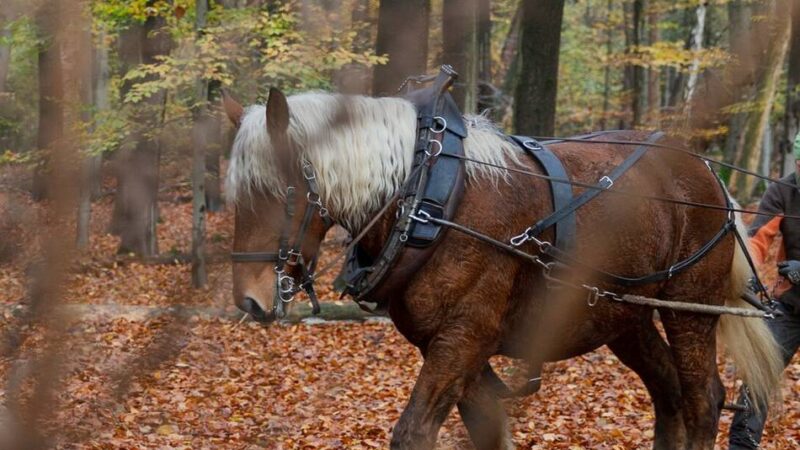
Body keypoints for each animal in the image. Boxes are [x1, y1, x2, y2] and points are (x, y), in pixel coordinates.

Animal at [222, 87, 783, 450]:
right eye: (236, 194)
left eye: (278, 191)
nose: (250, 299)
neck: (429, 199)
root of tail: (704, 169)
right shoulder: (451, 345)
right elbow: (487, 431)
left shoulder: (463, 336)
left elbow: (413, 433)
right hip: (623, 316)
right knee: (669, 396)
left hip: (690, 309)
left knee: (703, 400)